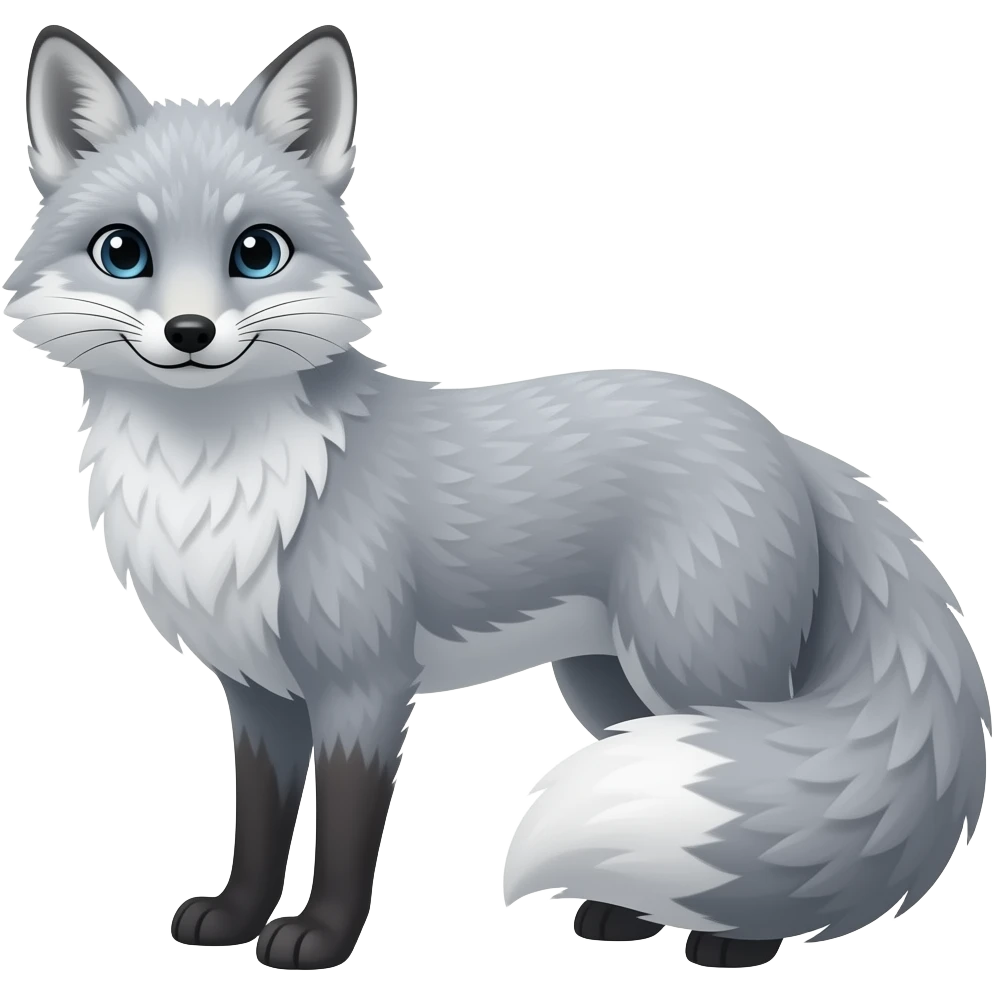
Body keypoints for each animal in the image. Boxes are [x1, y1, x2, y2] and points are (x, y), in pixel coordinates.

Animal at [5, 20, 990, 974]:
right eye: (122, 252)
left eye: (257, 252)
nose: (190, 332)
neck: (212, 489)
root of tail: (780, 436)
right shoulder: (257, 692)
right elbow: (258, 824)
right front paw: (235, 920)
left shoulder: (364, 685)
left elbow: (348, 831)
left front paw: (319, 941)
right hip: (612, 686)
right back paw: (624, 918)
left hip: (702, 672)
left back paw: (738, 942)